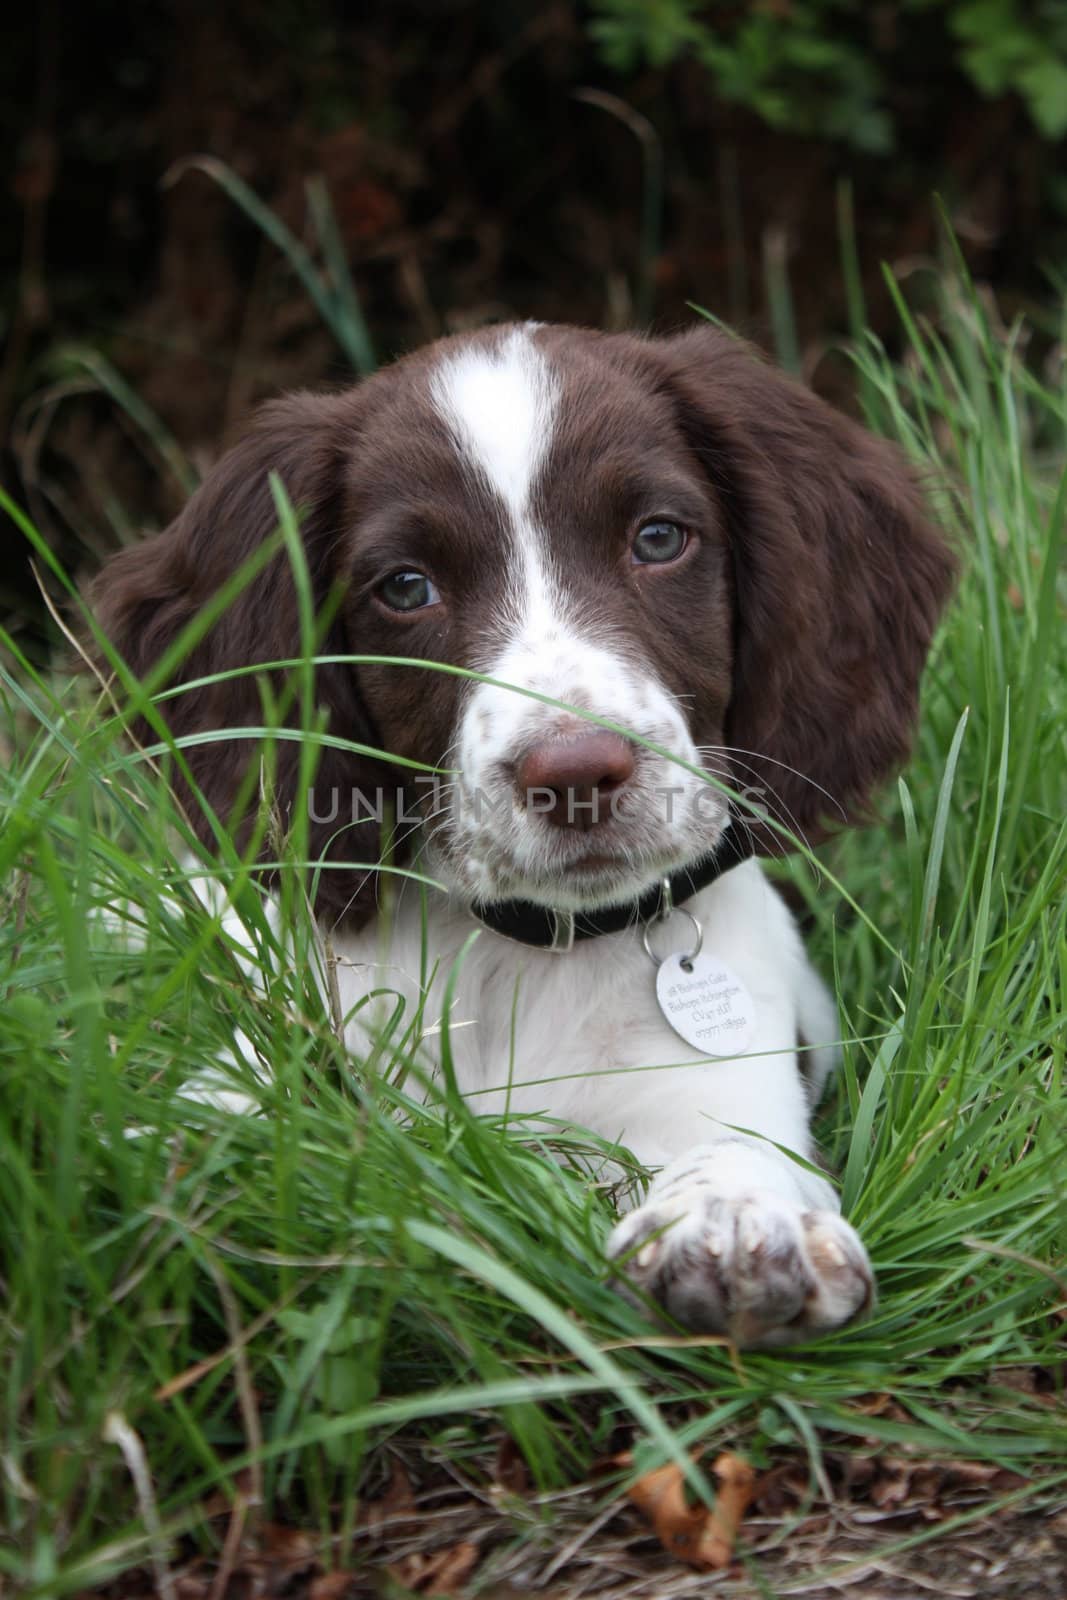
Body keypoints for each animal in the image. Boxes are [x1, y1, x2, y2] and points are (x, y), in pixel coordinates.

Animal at [95, 318, 953, 1344]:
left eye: (658, 537)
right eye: (405, 588)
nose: (575, 774)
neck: (531, 953)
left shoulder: (727, 1078)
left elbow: (740, 1148)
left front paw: (738, 1220)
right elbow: (215, 1118)